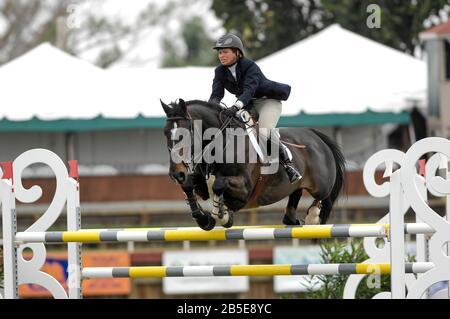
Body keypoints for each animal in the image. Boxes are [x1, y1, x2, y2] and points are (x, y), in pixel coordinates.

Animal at [160, 99, 346, 231]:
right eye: (165, 133)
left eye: (185, 134)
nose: (176, 173)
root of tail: (315, 135)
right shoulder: (201, 184)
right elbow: (188, 185)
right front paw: (204, 218)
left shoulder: (244, 189)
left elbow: (219, 185)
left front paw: (222, 215)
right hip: (297, 185)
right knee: (294, 200)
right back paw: (294, 219)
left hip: (320, 185)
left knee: (322, 196)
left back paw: (312, 218)